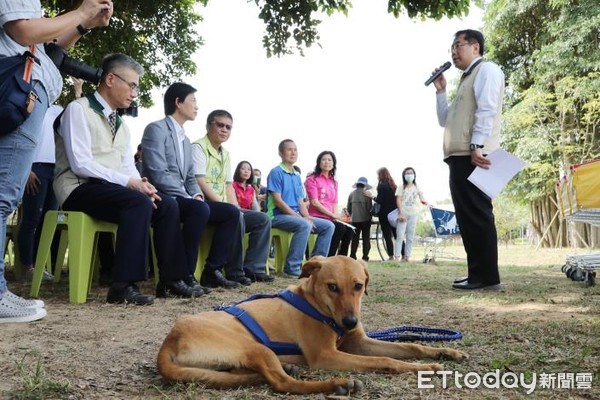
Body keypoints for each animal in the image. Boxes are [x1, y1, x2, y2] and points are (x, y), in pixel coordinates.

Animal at [157, 256, 466, 394]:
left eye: (358, 286)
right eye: (332, 287)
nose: (350, 321)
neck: (319, 306)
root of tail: (169, 339)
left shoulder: (358, 341)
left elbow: (411, 345)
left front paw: (444, 353)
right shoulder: (326, 355)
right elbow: (386, 360)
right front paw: (423, 368)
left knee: (253, 376)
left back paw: (289, 367)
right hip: (255, 347)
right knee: (282, 383)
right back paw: (338, 384)